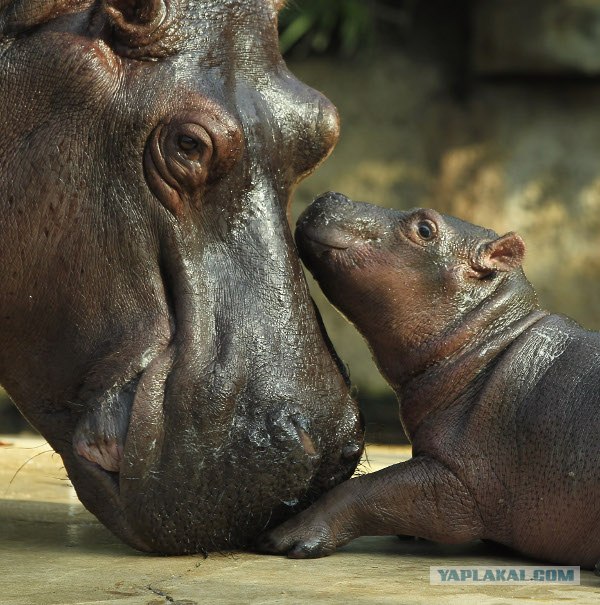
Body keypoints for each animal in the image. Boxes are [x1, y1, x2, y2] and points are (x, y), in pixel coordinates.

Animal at [258, 191, 600, 568]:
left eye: (425, 229)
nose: (332, 195)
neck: (490, 339)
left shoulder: (461, 485)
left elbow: (372, 487)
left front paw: (284, 537)